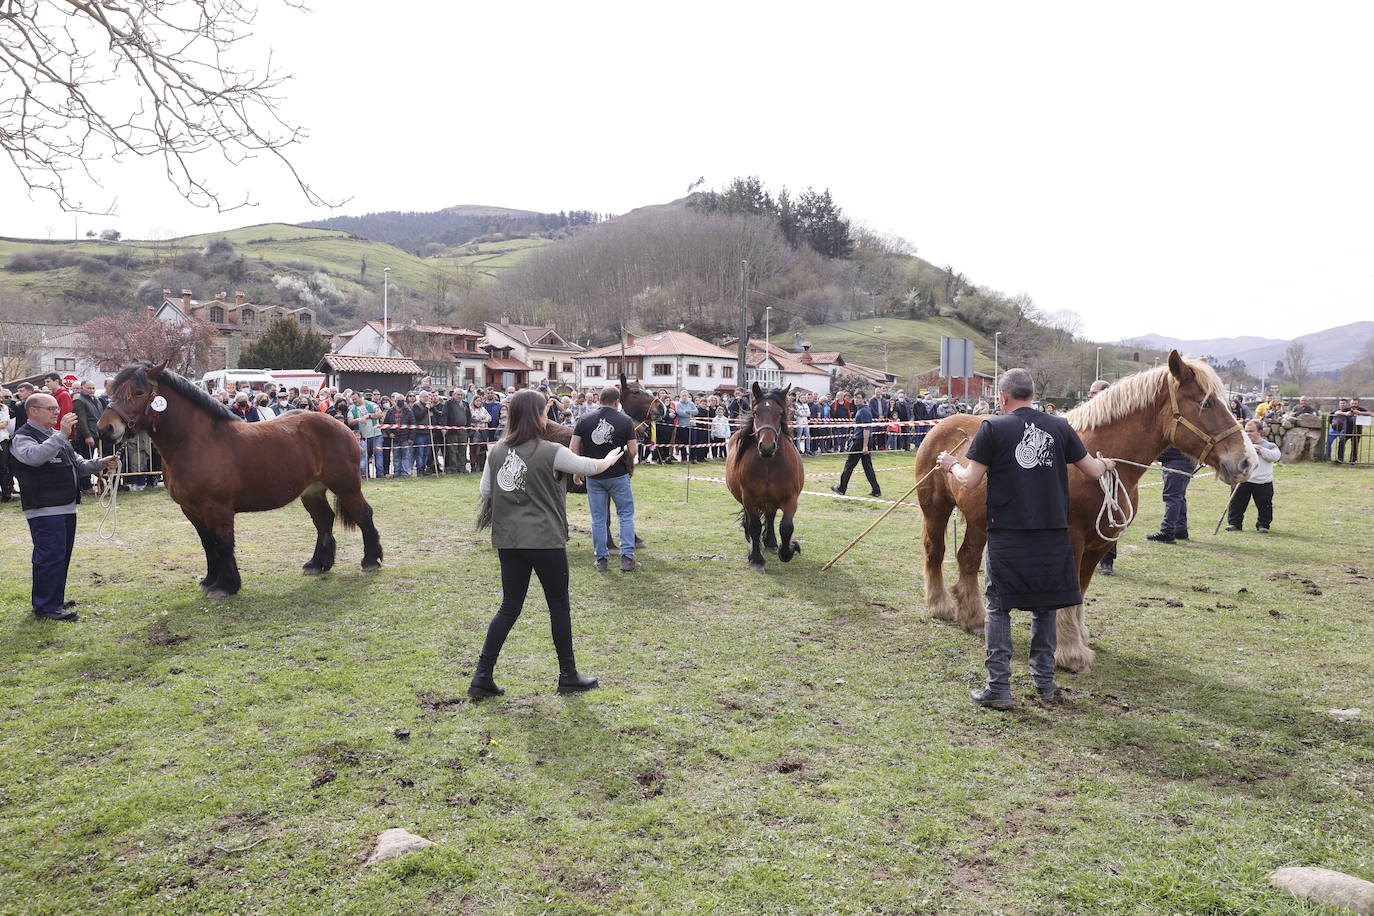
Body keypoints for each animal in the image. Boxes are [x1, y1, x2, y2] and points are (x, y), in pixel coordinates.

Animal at [99, 362, 384, 598]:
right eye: (112, 390)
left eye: (138, 392)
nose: (105, 428)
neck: (195, 441)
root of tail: (343, 426)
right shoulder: (191, 509)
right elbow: (208, 544)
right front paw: (210, 580)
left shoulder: (218, 508)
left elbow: (224, 544)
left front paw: (226, 586)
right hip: (312, 491)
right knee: (323, 521)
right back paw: (318, 564)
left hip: (346, 486)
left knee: (364, 515)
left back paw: (371, 561)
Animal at [719, 381, 802, 568]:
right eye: (756, 412)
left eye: (780, 413)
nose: (767, 447)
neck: (768, 465)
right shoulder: (749, 499)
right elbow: (754, 526)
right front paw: (756, 559)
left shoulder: (790, 498)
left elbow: (786, 527)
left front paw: (788, 550)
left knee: (771, 516)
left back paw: (771, 542)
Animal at [912, 351, 1258, 672]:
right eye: (1205, 404)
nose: (1246, 461)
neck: (1091, 459)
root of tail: (945, 426)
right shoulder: (1073, 539)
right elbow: (1069, 593)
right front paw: (1069, 652)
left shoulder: (1100, 543)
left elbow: (1081, 588)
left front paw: (1078, 637)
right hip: (936, 509)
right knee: (935, 551)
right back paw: (941, 606)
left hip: (979, 522)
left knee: (967, 560)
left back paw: (973, 618)